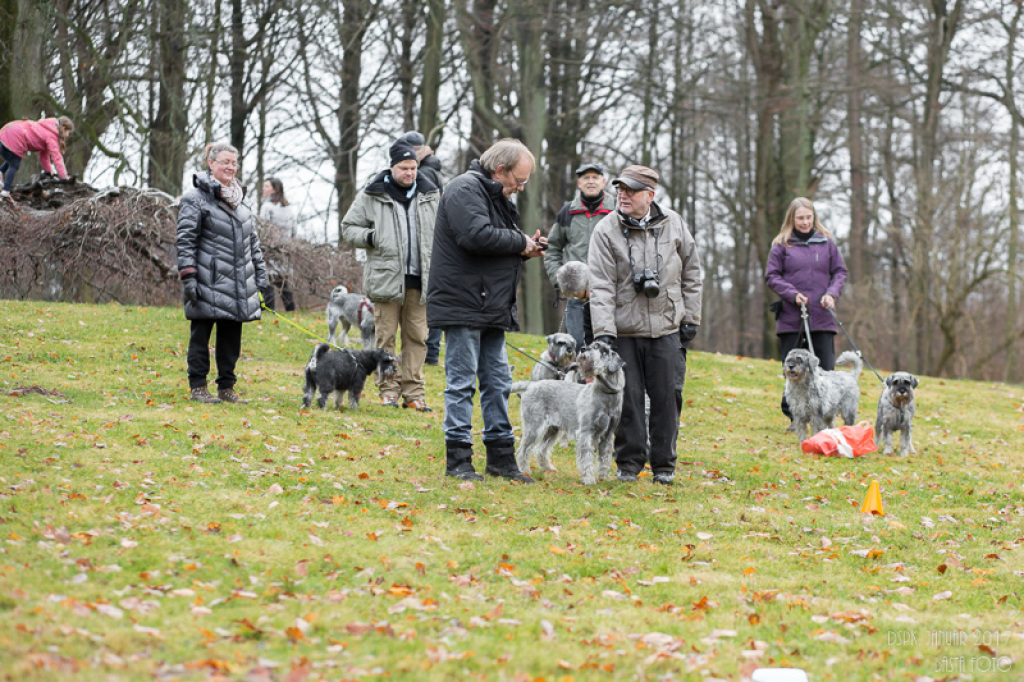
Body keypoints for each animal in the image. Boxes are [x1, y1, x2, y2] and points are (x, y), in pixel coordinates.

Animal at [512, 340, 625, 485]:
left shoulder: (607, 435)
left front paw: (603, 478)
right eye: (593, 345)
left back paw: (548, 468)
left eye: (600, 349)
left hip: (552, 430)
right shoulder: (586, 433)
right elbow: (587, 459)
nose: (583, 349)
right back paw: (525, 472)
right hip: (534, 427)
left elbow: (605, 459)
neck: (606, 394)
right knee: (523, 451)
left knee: (540, 450)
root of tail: (531, 385)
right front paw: (589, 480)